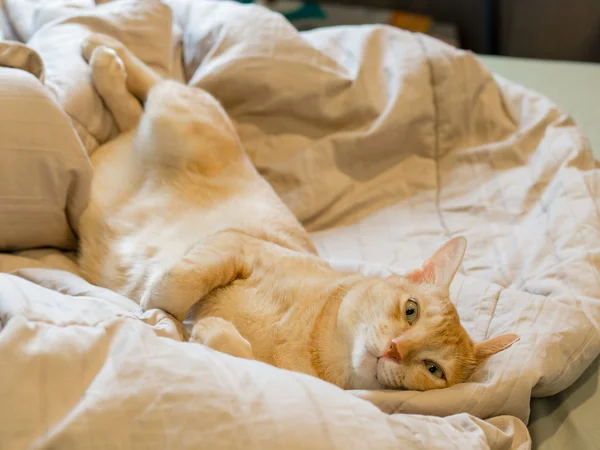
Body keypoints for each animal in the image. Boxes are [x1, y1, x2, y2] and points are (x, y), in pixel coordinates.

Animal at [77, 34, 516, 390]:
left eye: (433, 369)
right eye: (411, 311)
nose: (394, 349)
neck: (311, 344)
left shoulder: (273, 372)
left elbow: (232, 348)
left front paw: (200, 331)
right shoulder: (235, 245)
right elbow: (175, 285)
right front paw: (158, 308)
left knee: (130, 110)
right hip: (179, 114)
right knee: (157, 83)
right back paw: (100, 50)